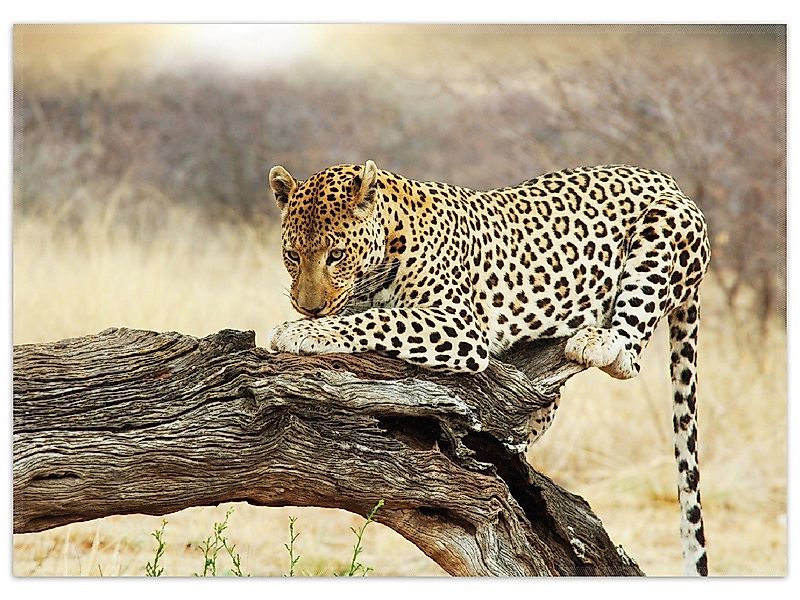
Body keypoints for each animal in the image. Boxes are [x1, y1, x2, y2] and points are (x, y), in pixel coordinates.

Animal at [265, 160, 711, 576]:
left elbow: (378, 319)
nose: (308, 307)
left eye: (335, 255)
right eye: (292, 256)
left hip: (662, 229)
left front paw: (302, 331)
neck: (390, 238)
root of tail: (669, 180)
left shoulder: (458, 323)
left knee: (629, 353)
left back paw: (598, 342)